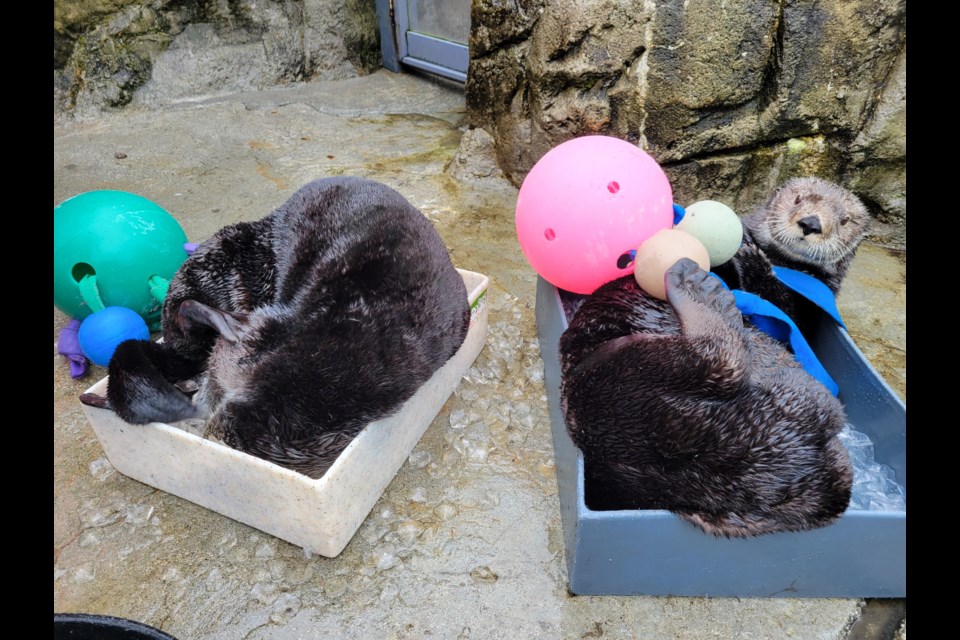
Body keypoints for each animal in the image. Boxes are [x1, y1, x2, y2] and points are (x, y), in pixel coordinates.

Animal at [564, 178, 872, 536]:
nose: (811, 223)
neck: (784, 264)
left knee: (717, 358)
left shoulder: (806, 313)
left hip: (607, 381)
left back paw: (697, 285)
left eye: (845, 220)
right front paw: (744, 251)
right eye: (798, 199)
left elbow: (778, 304)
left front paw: (751, 259)